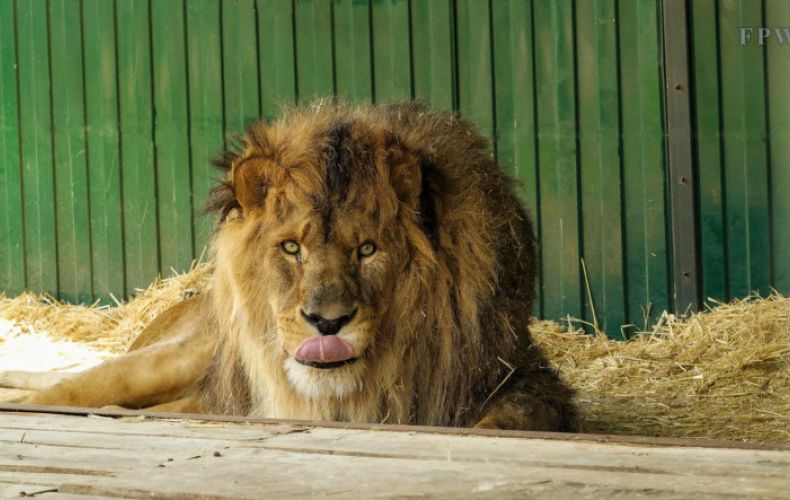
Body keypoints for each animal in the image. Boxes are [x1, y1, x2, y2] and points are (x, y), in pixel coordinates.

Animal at [1, 102, 576, 431]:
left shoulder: (514, 379)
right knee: (63, 392)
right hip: (170, 359)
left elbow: (507, 422)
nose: (326, 323)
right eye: (291, 248)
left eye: (367, 250)